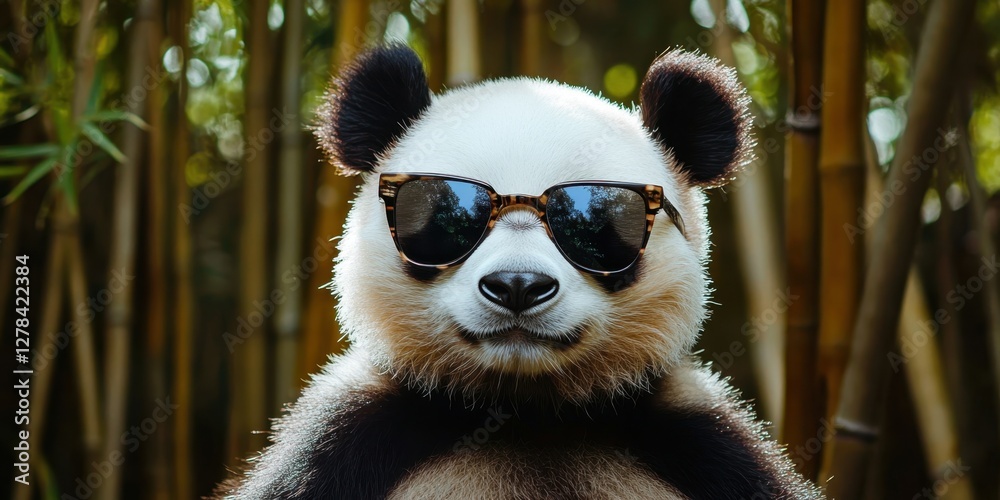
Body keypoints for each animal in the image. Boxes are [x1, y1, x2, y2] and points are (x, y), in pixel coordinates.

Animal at [215, 44, 822, 499]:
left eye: (598, 224)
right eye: (443, 216)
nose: (517, 286)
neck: (526, 412)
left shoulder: (702, 445)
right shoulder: (345, 442)